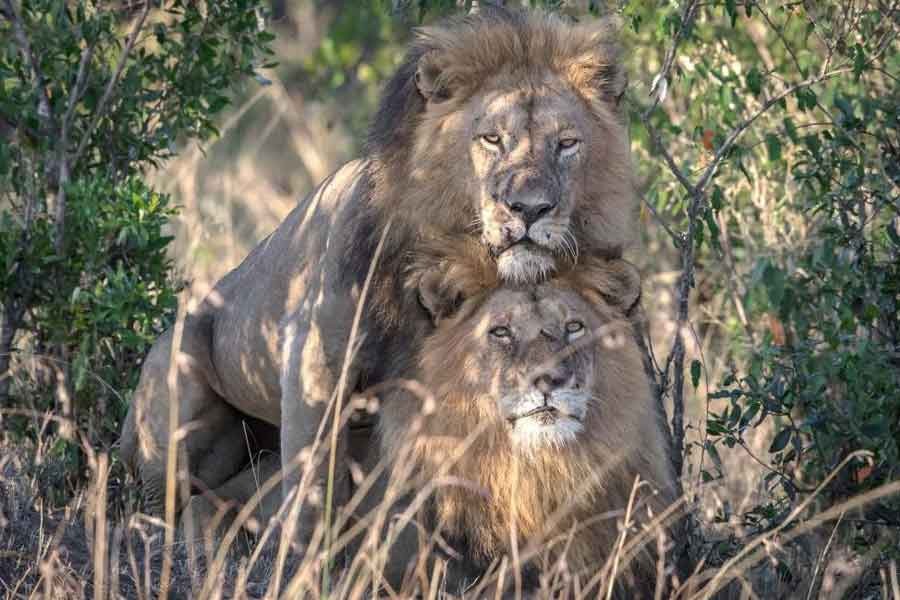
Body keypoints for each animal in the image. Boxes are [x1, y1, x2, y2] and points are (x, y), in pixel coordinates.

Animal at [121, 5, 640, 548]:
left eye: (567, 144)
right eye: (492, 139)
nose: (531, 208)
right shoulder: (314, 359)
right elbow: (313, 488)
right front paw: (304, 561)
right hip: (175, 379)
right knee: (166, 504)